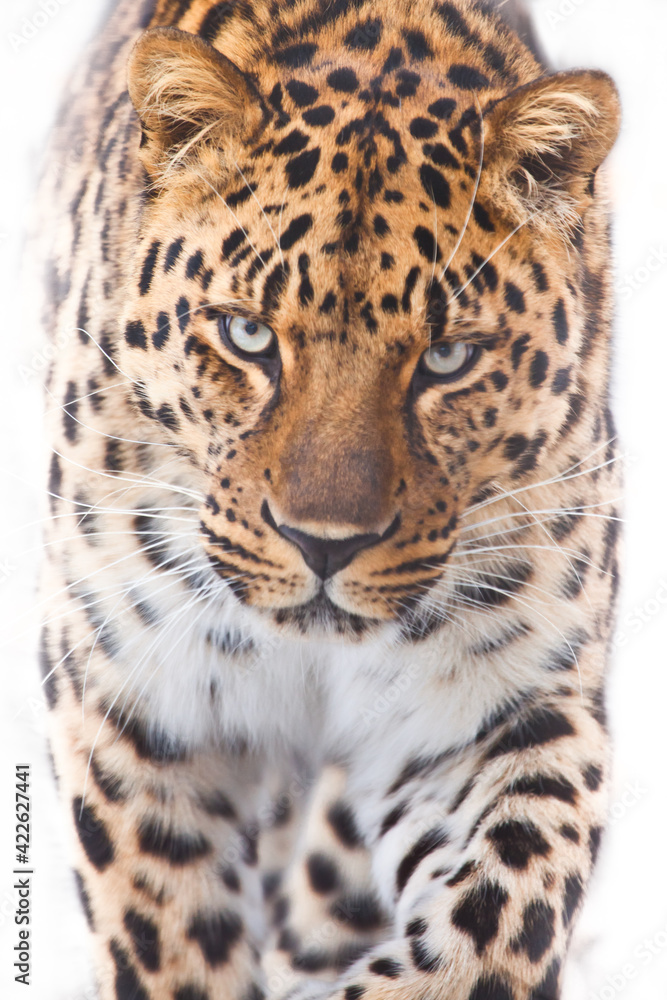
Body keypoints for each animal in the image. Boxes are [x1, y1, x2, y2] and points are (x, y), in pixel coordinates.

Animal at [33, 0, 622, 998]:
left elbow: (500, 913)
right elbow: (171, 937)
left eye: (446, 358)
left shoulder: (500, 707)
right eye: (247, 337)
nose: (324, 545)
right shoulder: (136, 704)